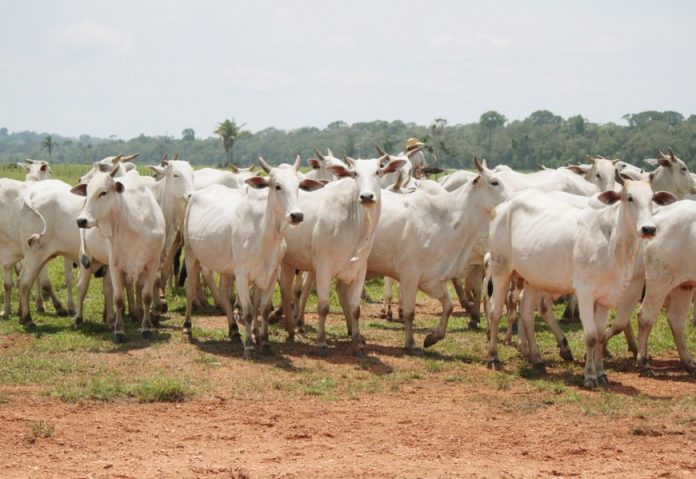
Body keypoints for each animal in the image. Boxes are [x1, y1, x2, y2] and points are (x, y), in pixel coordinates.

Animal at [72, 168, 166, 342]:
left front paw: (146, 328)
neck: (135, 225)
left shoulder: (152, 264)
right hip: (88, 261)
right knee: (82, 288)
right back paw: (78, 319)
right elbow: (119, 298)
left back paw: (110, 319)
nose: (81, 220)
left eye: (103, 192)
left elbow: (146, 296)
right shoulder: (116, 265)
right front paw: (119, 331)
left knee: (107, 288)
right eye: (87, 193)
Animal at [182, 158, 324, 356]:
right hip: (191, 254)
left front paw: (263, 341)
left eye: (298, 186)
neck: (265, 236)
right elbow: (249, 311)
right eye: (277, 186)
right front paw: (249, 344)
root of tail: (196, 194)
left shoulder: (269, 274)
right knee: (189, 289)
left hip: (226, 268)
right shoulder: (242, 275)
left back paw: (233, 330)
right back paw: (187, 327)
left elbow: (262, 309)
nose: (297, 215)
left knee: (224, 293)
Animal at [278, 156, 408, 354]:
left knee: (288, 291)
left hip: (290, 262)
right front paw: (321, 341)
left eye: (378, 171)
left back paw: (291, 328)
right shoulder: (323, 267)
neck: (355, 226)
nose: (367, 197)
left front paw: (356, 343)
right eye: (355, 173)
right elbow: (323, 306)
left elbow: (355, 308)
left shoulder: (359, 269)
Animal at [486, 176, 676, 390]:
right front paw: (589, 377)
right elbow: (591, 336)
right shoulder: (584, 293)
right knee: (495, 311)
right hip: (500, 267)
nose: (648, 229)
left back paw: (537, 359)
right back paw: (493, 357)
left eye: (652, 198)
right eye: (629, 197)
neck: (613, 245)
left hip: (531, 278)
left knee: (526, 313)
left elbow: (600, 336)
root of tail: (507, 202)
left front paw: (601, 374)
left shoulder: (608, 297)